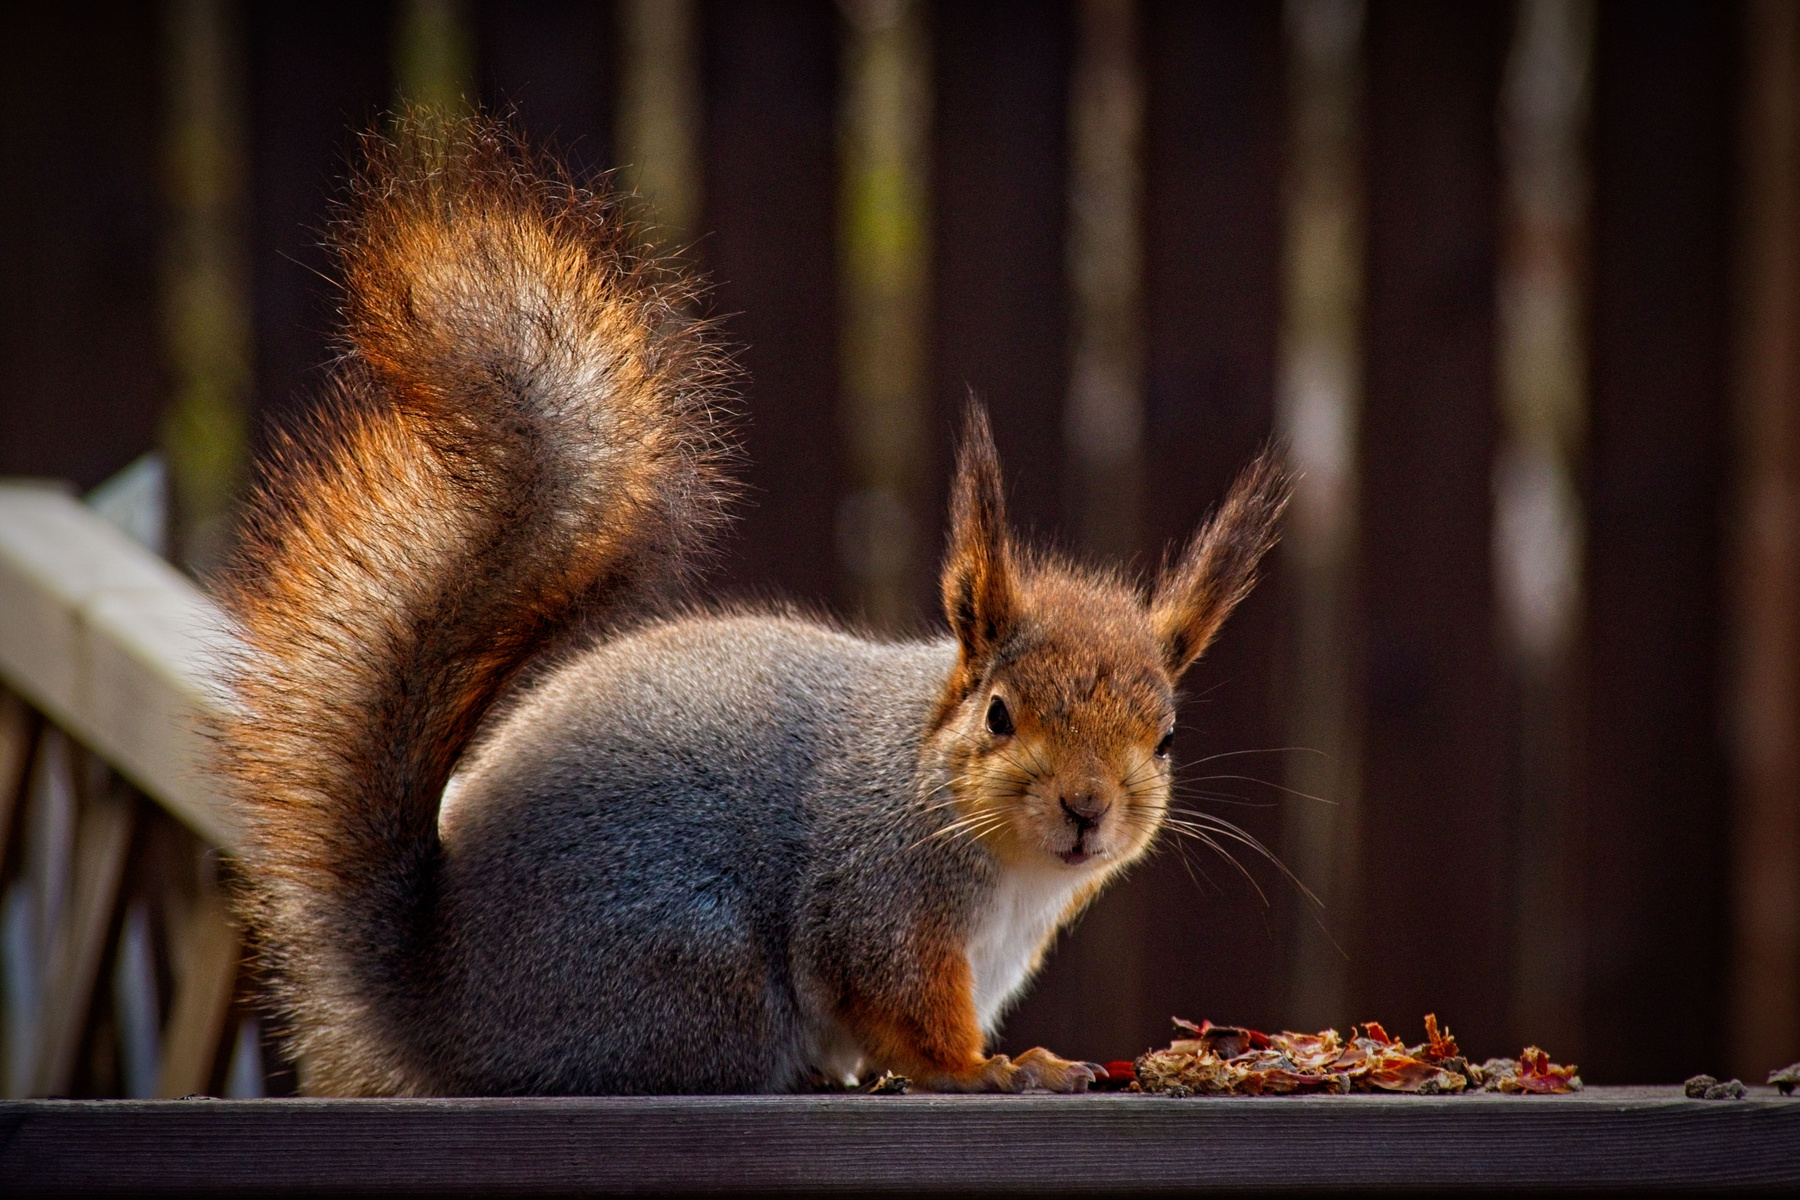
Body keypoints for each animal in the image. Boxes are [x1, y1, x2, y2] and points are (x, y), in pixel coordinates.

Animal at [214, 114, 1291, 1097]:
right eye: (999, 715)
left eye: (1164, 738)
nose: (1087, 809)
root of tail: (441, 1010)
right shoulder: (876, 900)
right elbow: (908, 1020)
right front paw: (995, 1069)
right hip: (697, 971)